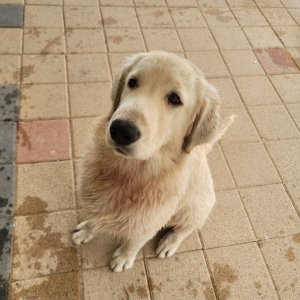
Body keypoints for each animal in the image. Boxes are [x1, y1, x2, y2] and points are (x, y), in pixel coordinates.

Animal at [71, 51, 234, 272]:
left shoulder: (149, 221)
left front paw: (124, 257)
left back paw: (169, 243)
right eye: (132, 82)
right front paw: (87, 230)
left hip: (196, 208)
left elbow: (134, 242)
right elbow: (95, 218)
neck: (128, 171)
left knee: (186, 228)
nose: (121, 130)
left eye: (175, 99)